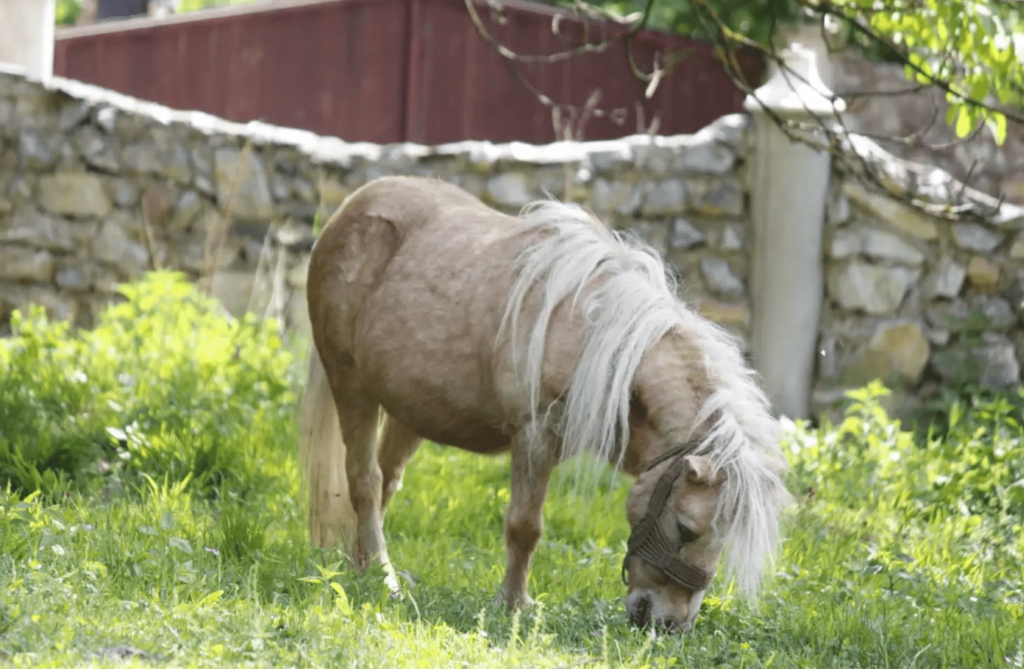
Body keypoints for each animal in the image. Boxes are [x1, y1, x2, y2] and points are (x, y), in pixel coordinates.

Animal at [299, 175, 790, 626]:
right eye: (686, 530)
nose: (670, 624)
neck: (595, 337)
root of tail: (351, 206)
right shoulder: (534, 436)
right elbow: (525, 526)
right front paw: (515, 603)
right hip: (351, 387)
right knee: (364, 481)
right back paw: (384, 579)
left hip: (411, 411)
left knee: (386, 481)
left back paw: (362, 568)